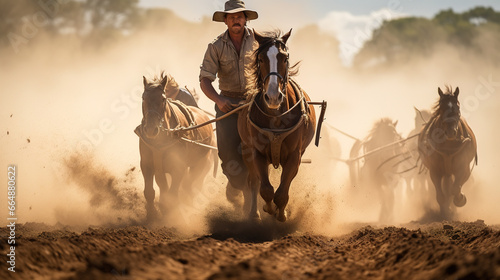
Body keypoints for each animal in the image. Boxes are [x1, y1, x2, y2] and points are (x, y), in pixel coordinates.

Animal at [136, 73, 216, 222]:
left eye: (163, 99)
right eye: (143, 98)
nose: (150, 129)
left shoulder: (179, 167)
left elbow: (173, 194)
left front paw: (172, 215)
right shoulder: (146, 165)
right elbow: (150, 192)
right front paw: (151, 214)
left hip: (200, 164)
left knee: (189, 186)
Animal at [237, 29, 316, 222]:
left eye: (285, 58)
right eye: (260, 59)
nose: (273, 96)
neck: (276, 119)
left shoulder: (295, 155)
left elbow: (282, 191)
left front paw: (281, 213)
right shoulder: (256, 153)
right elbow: (265, 188)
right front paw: (268, 208)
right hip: (246, 149)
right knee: (253, 181)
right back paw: (254, 213)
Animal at [418, 86, 476, 220]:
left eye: (457, 107)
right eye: (441, 107)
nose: (450, 131)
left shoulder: (463, 168)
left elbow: (455, 189)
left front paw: (460, 200)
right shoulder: (435, 171)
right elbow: (441, 196)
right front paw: (445, 213)